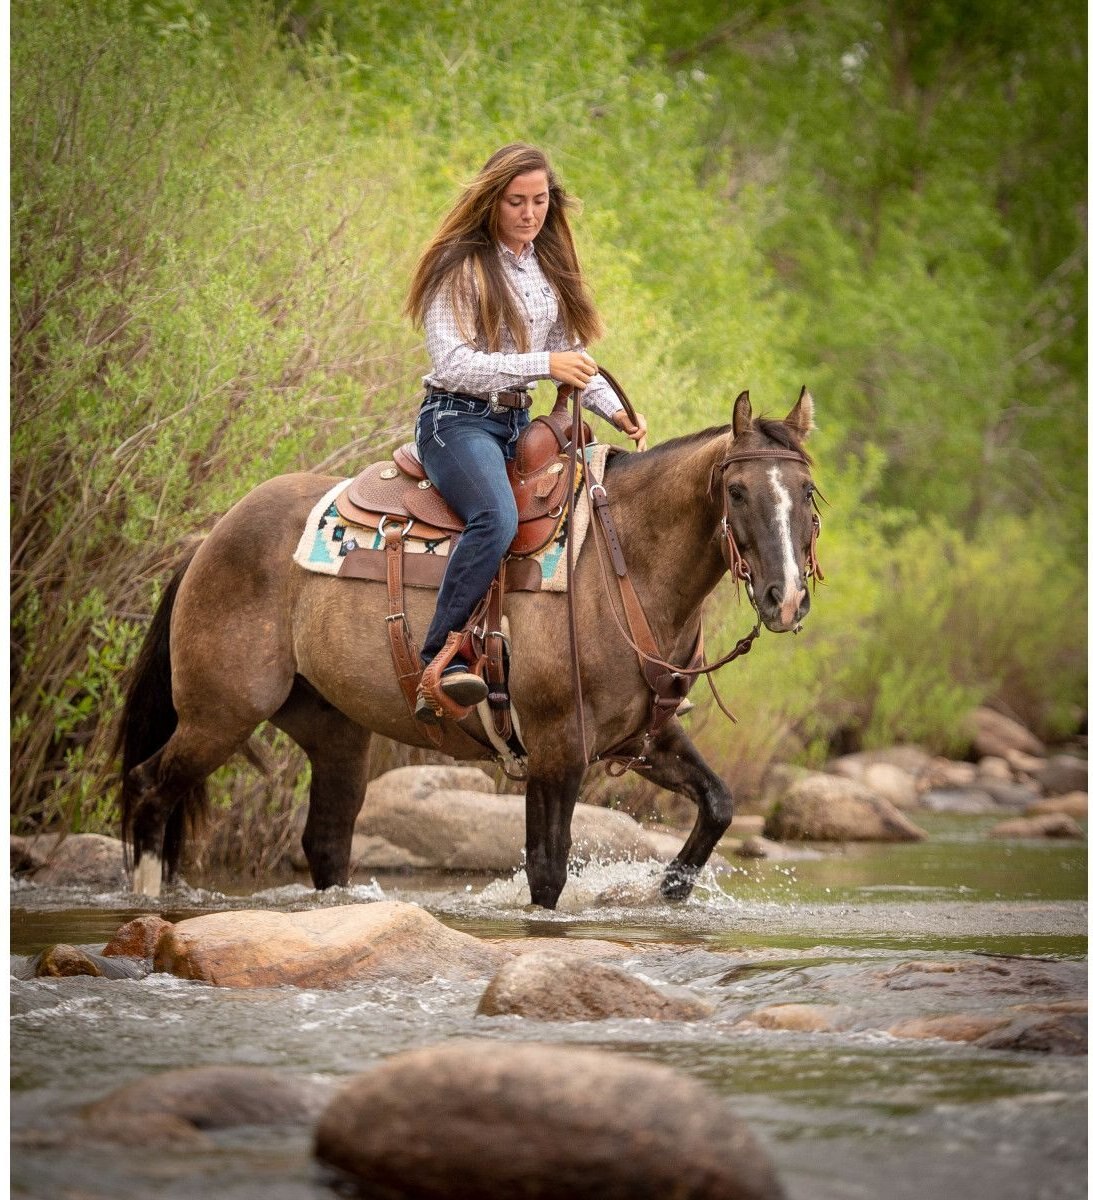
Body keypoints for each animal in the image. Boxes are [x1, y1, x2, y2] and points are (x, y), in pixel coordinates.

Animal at [117, 388, 820, 902]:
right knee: (150, 790)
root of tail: (212, 536)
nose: (785, 598)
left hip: (333, 728)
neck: (621, 566)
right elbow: (546, 870)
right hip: (221, 713)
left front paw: (670, 887)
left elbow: (720, 805)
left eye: (807, 493)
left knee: (326, 841)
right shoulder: (557, 746)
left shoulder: (643, 739)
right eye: (737, 491)